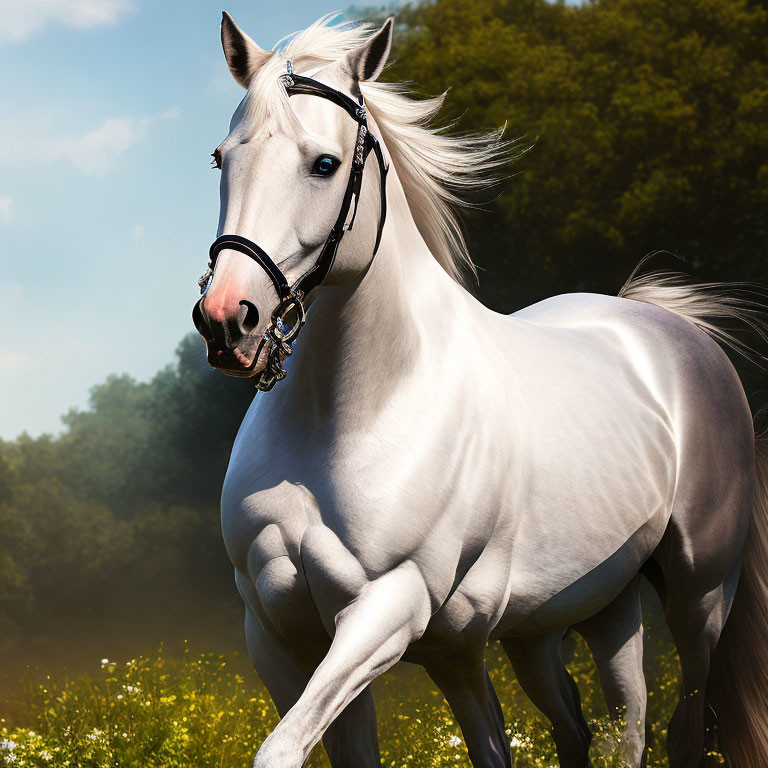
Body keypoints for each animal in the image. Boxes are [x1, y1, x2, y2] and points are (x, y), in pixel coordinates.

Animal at [192, 13, 768, 768]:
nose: (229, 320)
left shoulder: (388, 607)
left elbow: (281, 747)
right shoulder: (281, 631)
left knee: (682, 728)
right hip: (579, 616)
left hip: (699, 597)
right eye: (221, 158)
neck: (349, 415)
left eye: (324, 164)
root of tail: (674, 331)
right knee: (608, 728)